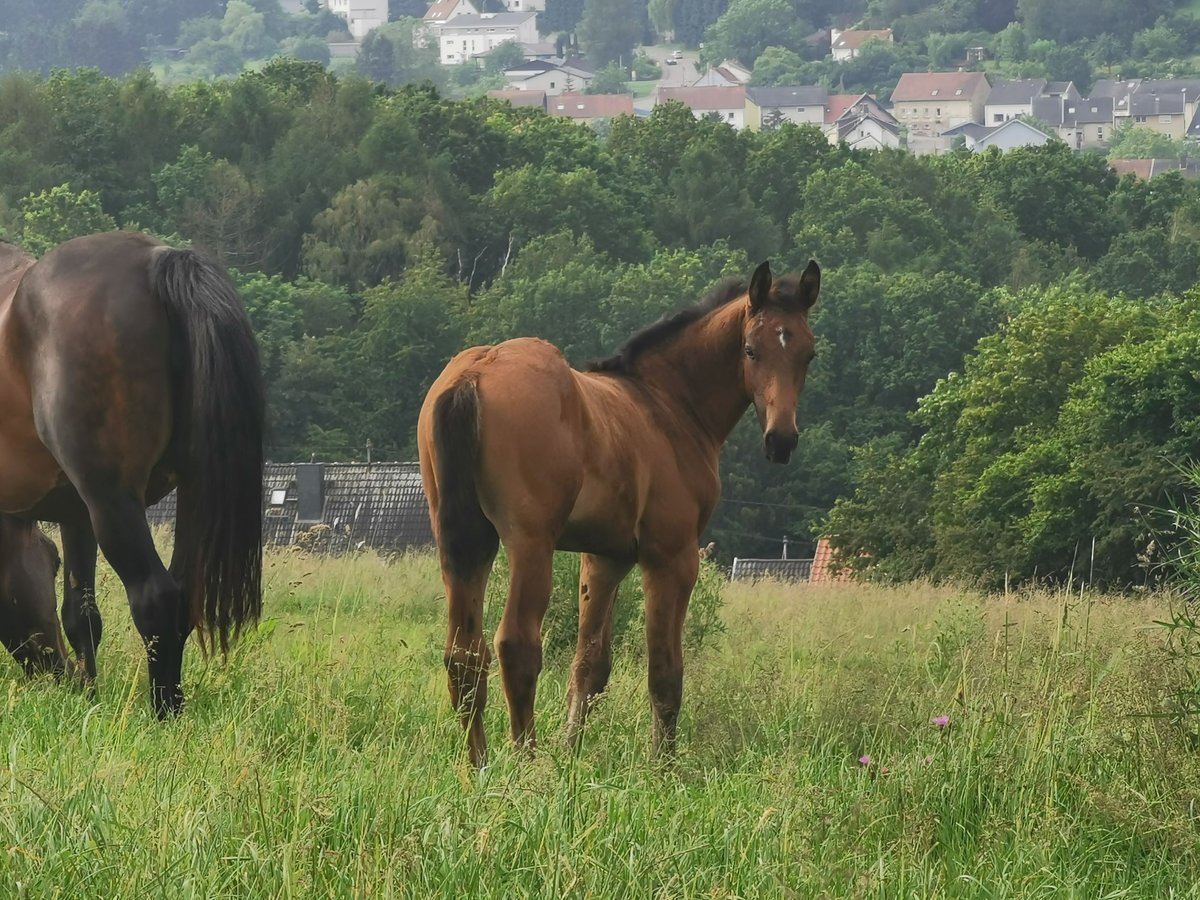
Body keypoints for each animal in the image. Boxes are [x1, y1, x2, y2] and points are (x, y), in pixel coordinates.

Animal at [417, 256, 820, 763]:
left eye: (808, 354)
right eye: (750, 350)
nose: (781, 441)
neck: (667, 405)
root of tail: (474, 374)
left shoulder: (605, 558)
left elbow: (589, 666)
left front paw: (571, 756)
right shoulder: (671, 556)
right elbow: (665, 672)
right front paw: (662, 767)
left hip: (464, 541)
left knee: (464, 653)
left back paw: (479, 765)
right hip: (529, 543)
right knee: (515, 644)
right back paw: (526, 763)